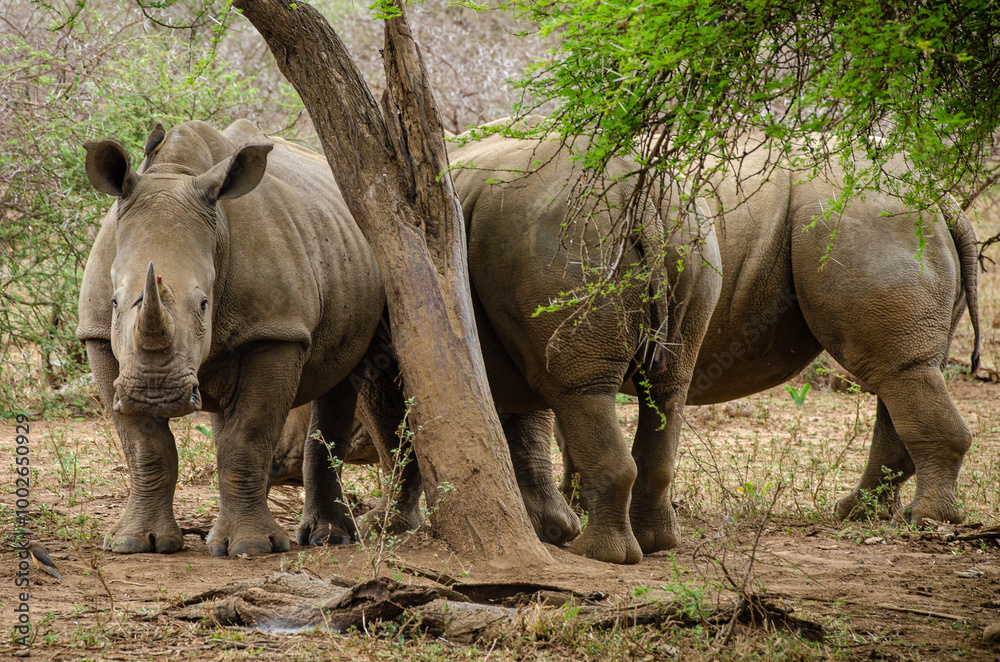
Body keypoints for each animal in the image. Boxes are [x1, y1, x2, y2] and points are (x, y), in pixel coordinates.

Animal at [77, 119, 386, 556]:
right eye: (116, 301)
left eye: (204, 304)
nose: (153, 394)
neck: (177, 174)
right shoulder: (98, 333)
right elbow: (144, 446)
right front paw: (135, 542)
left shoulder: (275, 332)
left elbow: (249, 438)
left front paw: (251, 547)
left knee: (344, 380)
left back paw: (329, 538)